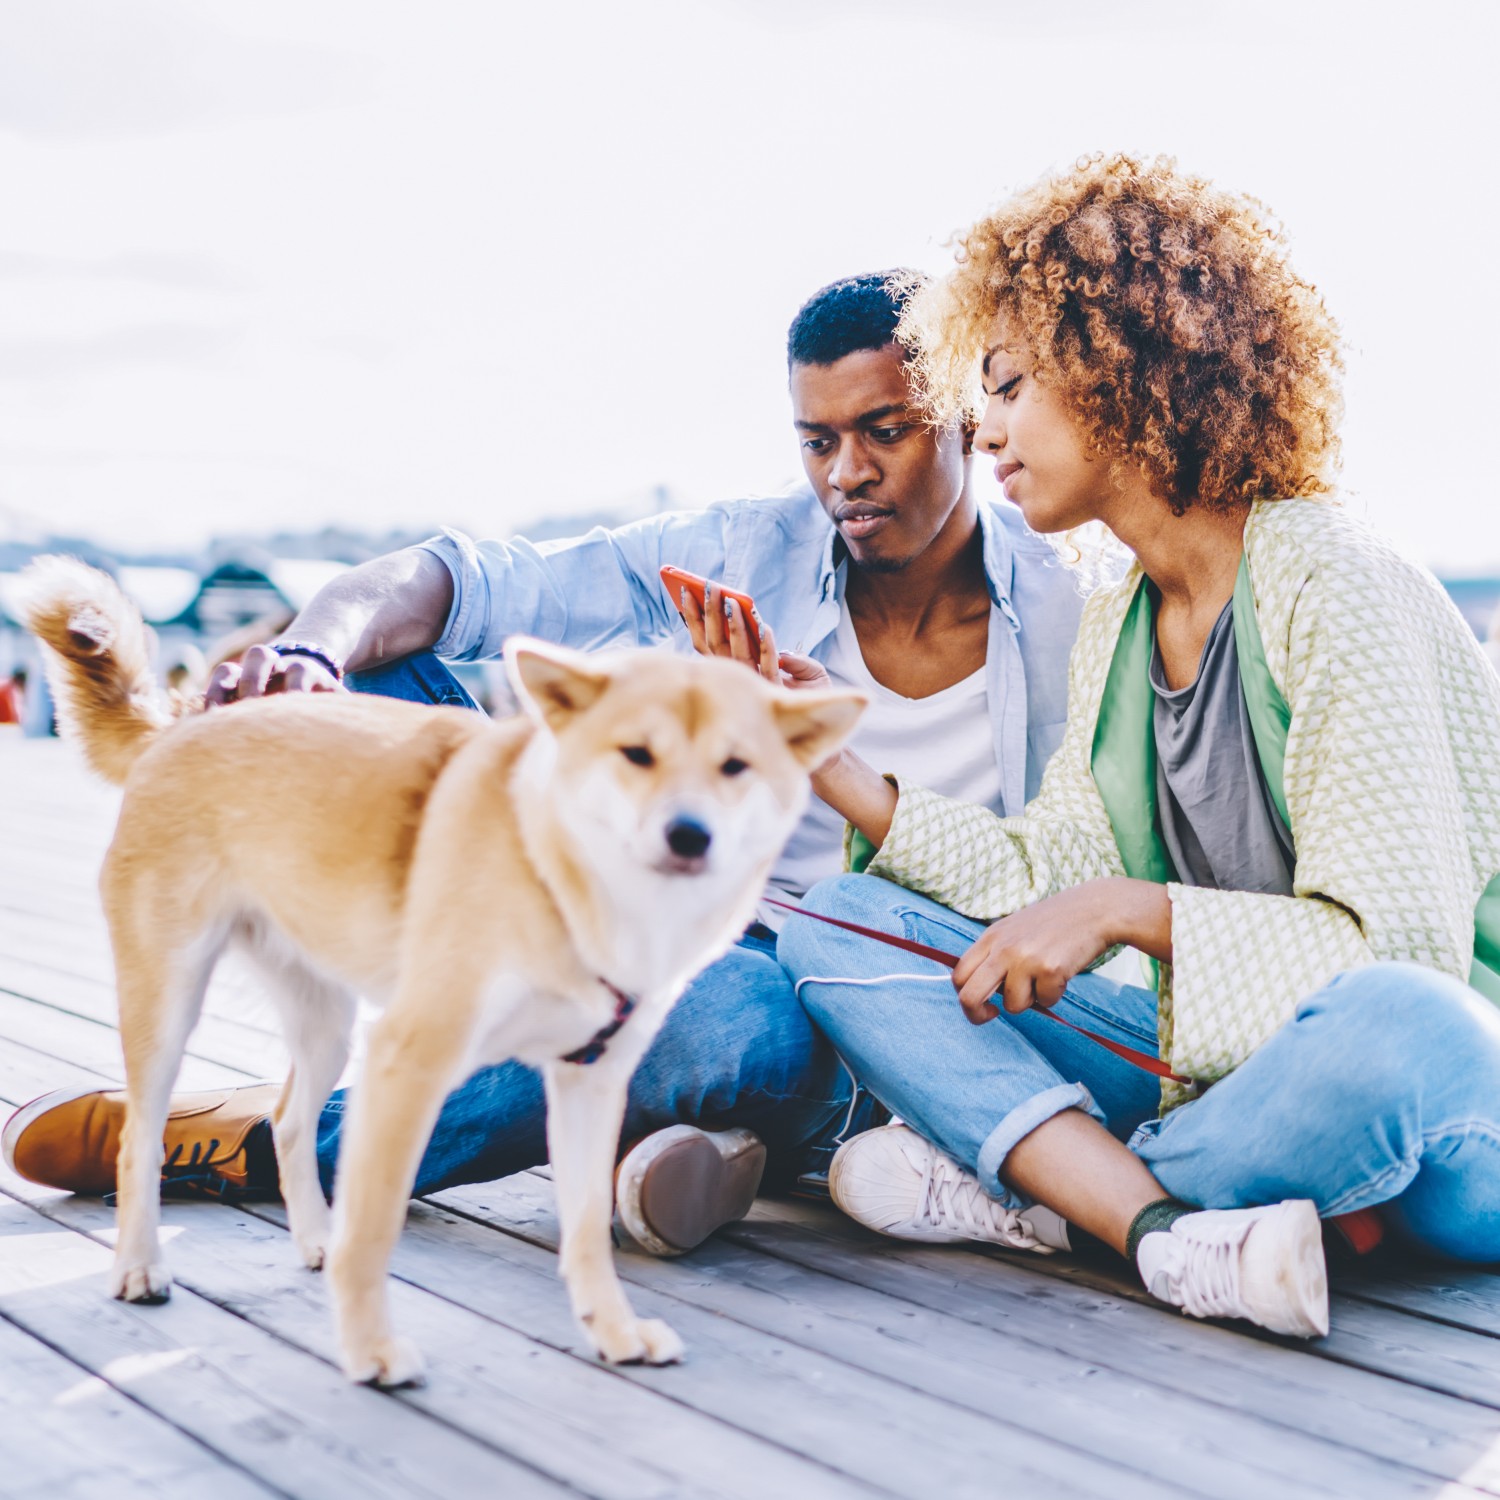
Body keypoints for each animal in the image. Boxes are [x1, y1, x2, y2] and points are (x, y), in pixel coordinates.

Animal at [20, 561, 870, 1380]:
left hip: (328, 1025)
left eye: (736, 767)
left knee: (289, 1120)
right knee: (142, 1137)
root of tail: (189, 718)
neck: (565, 881)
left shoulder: (591, 1082)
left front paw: (613, 1331)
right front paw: (371, 1351)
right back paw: (140, 1266)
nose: (690, 835)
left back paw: (313, 1240)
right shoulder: (411, 1061)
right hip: (171, 1005)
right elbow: (375, 1227)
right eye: (637, 754)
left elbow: (586, 1232)